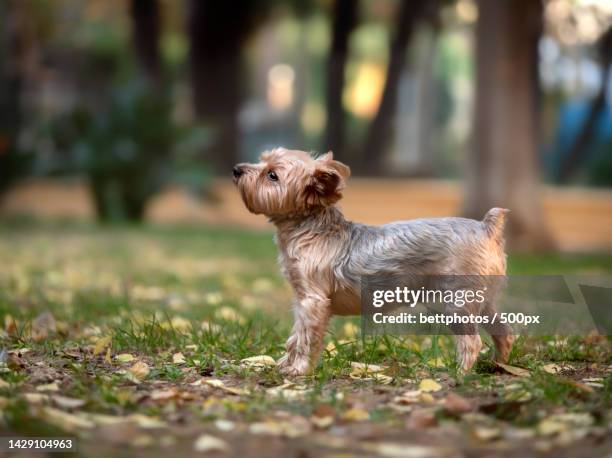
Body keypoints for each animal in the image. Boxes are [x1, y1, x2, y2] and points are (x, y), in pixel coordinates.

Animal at [232, 148, 512, 374]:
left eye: (272, 175)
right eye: (262, 160)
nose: (236, 169)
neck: (310, 228)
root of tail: (486, 228)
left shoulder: (313, 301)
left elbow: (305, 338)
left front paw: (298, 370)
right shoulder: (301, 300)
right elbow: (294, 336)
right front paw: (284, 364)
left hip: (456, 302)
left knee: (472, 341)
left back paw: (460, 373)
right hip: (482, 300)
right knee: (504, 332)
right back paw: (498, 365)